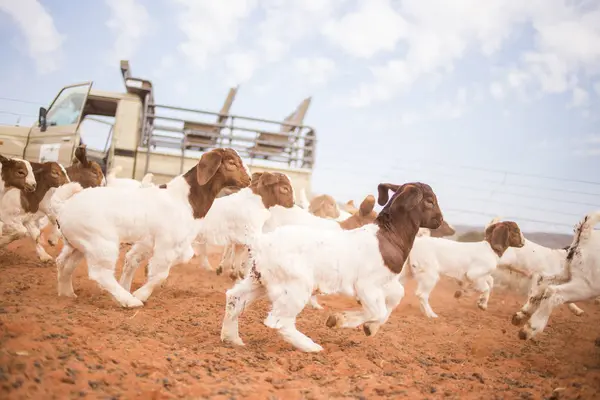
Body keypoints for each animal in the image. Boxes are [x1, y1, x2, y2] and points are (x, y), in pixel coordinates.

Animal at [48, 148, 251, 308]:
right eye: (231, 162)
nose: (248, 179)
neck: (184, 199)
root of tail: (63, 206)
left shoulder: (155, 242)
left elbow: (173, 258)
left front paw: (134, 283)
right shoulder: (166, 244)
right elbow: (160, 273)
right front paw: (139, 294)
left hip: (79, 244)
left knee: (65, 264)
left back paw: (67, 293)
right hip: (101, 243)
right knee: (100, 274)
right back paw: (129, 301)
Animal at [221, 183, 446, 352]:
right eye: (429, 201)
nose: (440, 220)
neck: (387, 236)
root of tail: (262, 241)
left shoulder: (386, 282)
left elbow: (394, 298)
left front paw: (369, 327)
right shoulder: (367, 285)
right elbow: (377, 310)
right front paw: (339, 320)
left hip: (259, 279)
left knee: (234, 298)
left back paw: (232, 338)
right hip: (295, 285)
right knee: (280, 321)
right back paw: (310, 347)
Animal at [510, 209, 600, 340]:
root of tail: (586, 234)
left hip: (567, 274)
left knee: (543, 282)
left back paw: (521, 315)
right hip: (587, 286)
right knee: (554, 292)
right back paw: (529, 329)